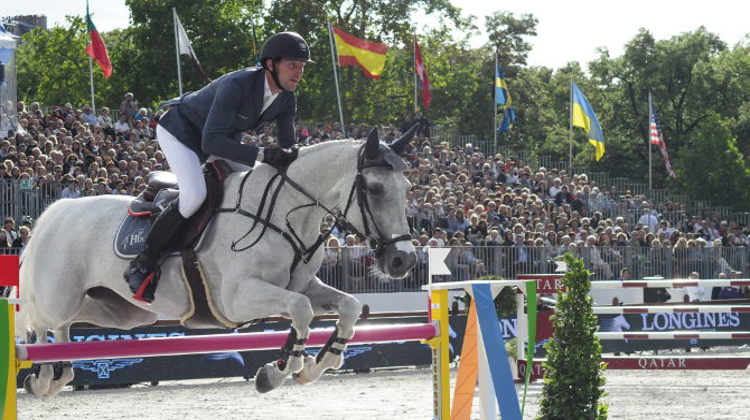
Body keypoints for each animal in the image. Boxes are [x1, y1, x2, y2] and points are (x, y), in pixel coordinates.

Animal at [16, 128, 418, 398]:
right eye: (375, 189)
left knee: (68, 324)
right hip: (60, 296)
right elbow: (301, 310)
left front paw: (319, 364)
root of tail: (57, 210)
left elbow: (347, 306)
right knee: (40, 320)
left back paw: (59, 374)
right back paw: (41, 375)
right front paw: (280, 370)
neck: (285, 213)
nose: (404, 260)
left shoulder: (302, 285)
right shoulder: (236, 299)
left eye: (407, 189)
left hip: (124, 311)